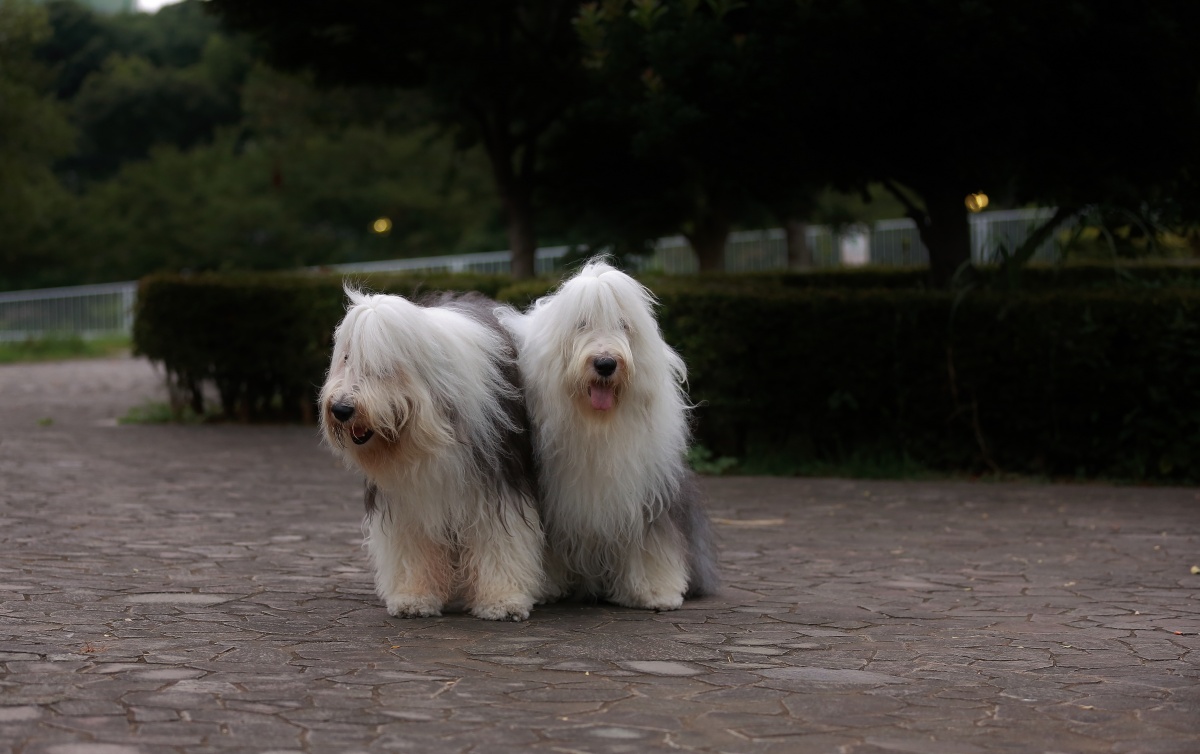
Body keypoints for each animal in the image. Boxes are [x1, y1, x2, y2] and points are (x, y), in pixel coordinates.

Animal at [319, 288, 548, 621]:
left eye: (384, 367)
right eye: (346, 359)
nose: (341, 409)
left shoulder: (498, 482)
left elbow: (500, 537)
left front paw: (502, 600)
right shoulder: (407, 499)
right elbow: (414, 544)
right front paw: (414, 597)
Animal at [499, 259, 718, 610]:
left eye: (623, 326)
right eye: (581, 325)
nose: (605, 363)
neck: (597, 425)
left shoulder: (647, 490)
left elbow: (651, 542)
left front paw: (656, 591)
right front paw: (547, 587)